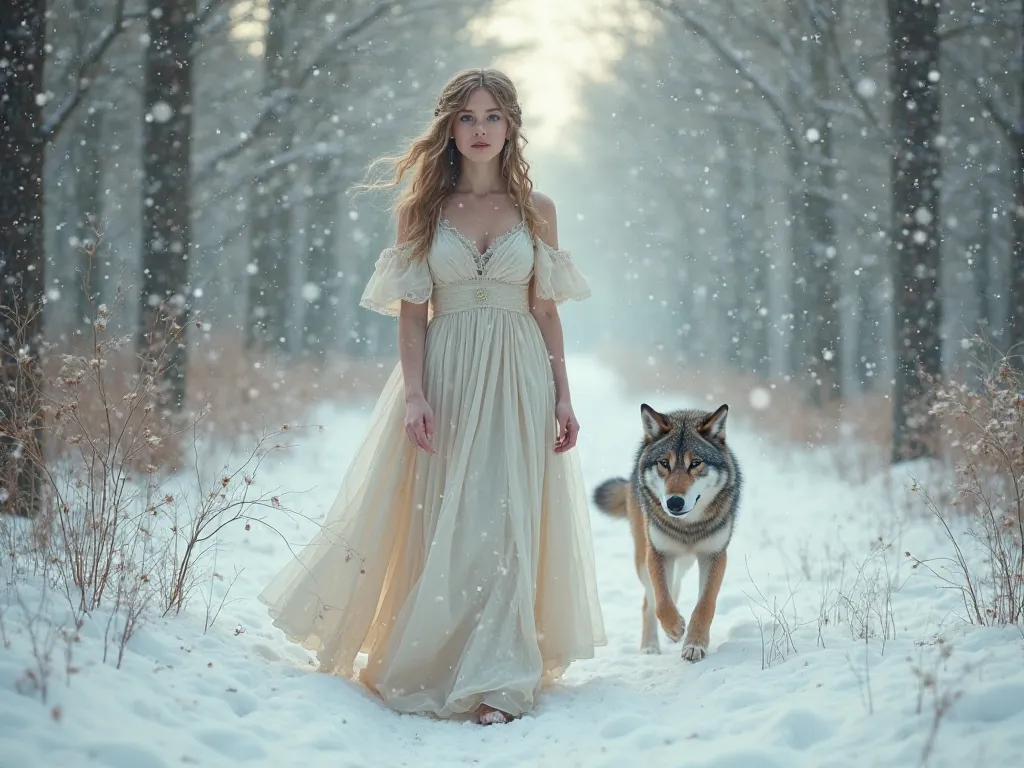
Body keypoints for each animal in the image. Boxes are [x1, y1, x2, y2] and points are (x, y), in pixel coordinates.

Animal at [593, 403, 745, 663]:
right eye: (664, 463)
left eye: (695, 463)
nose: (674, 503)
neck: (688, 527)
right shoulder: (658, 552)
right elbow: (662, 602)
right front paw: (674, 629)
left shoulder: (714, 555)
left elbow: (705, 604)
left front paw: (694, 645)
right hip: (643, 558)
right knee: (650, 600)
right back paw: (650, 646)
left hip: (683, 562)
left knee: (675, 586)